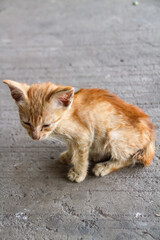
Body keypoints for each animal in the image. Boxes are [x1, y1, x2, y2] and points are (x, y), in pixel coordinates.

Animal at [2, 80, 155, 182]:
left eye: (46, 125)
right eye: (26, 123)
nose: (35, 137)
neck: (67, 116)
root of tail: (150, 138)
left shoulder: (84, 136)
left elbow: (81, 157)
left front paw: (79, 173)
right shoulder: (74, 138)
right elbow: (71, 145)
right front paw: (69, 156)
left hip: (114, 135)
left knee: (131, 157)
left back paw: (104, 166)